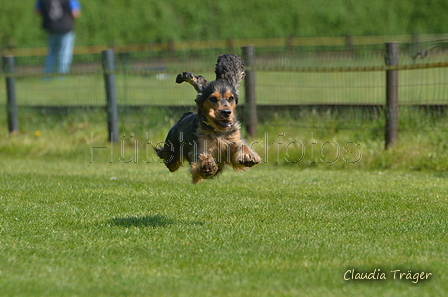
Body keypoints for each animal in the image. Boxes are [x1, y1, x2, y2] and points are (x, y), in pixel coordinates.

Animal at [154, 53, 260, 183]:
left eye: (231, 98)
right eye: (213, 99)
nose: (226, 112)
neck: (217, 131)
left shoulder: (232, 140)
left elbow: (240, 146)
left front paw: (248, 156)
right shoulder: (199, 147)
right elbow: (202, 156)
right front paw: (207, 166)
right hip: (172, 156)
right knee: (169, 161)